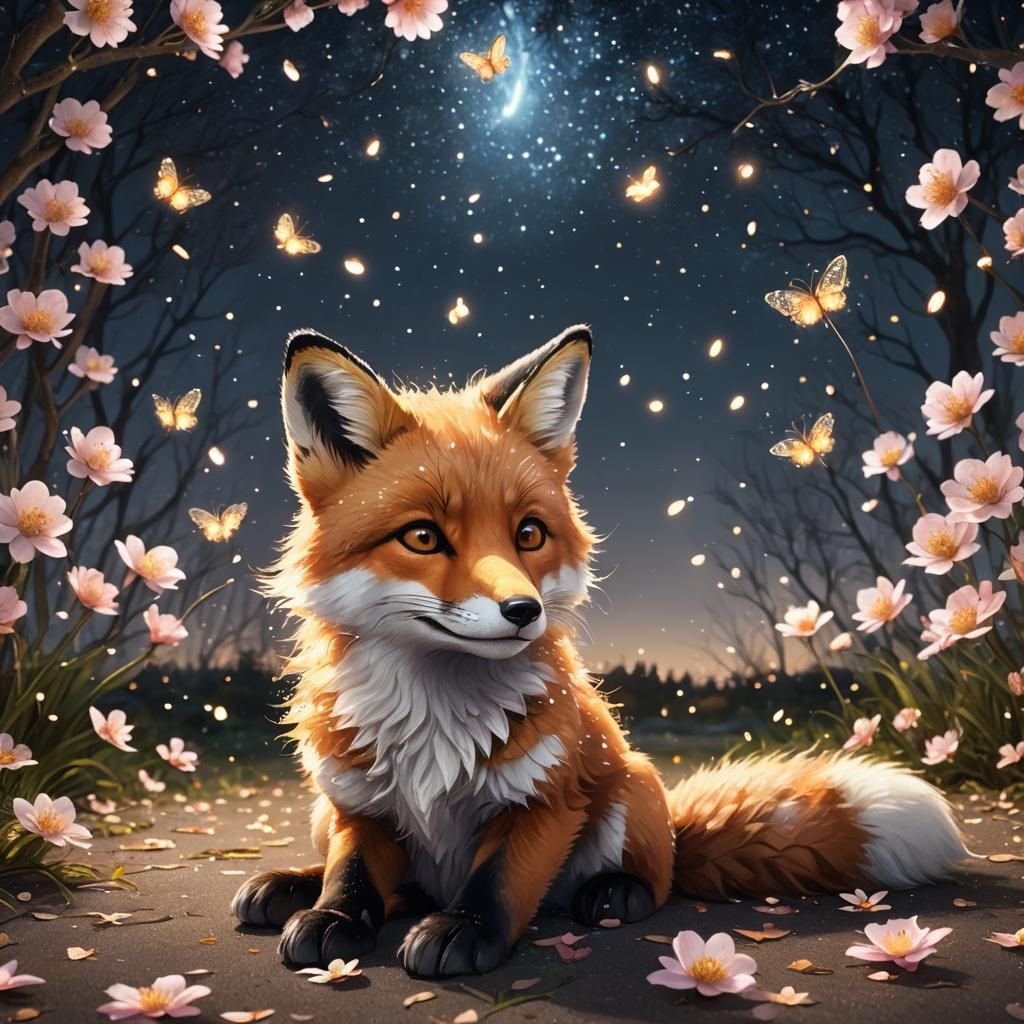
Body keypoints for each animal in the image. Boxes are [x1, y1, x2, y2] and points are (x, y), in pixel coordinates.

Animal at [231, 324, 966, 979]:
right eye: (422, 537)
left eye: (529, 534)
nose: (523, 611)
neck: (435, 721)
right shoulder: (359, 803)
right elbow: (352, 872)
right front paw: (333, 915)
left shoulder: (547, 800)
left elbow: (498, 880)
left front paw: (466, 931)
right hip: (322, 809)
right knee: (384, 880)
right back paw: (293, 886)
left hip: (630, 788)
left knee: (656, 881)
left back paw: (614, 893)